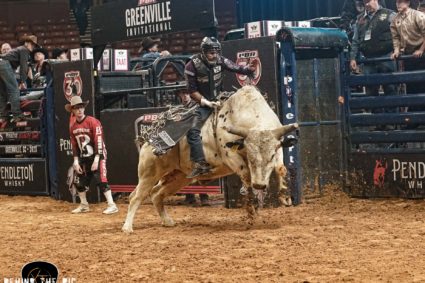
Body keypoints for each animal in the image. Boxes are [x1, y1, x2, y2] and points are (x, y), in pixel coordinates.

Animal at [121, 86, 296, 233]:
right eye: (250, 155)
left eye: (271, 155)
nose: (259, 185)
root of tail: (149, 137)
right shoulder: (230, 156)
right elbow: (246, 174)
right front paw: (251, 207)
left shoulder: (278, 146)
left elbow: (280, 168)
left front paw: (285, 196)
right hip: (149, 172)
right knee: (135, 197)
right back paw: (127, 227)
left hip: (179, 177)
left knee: (156, 194)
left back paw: (167, 221)